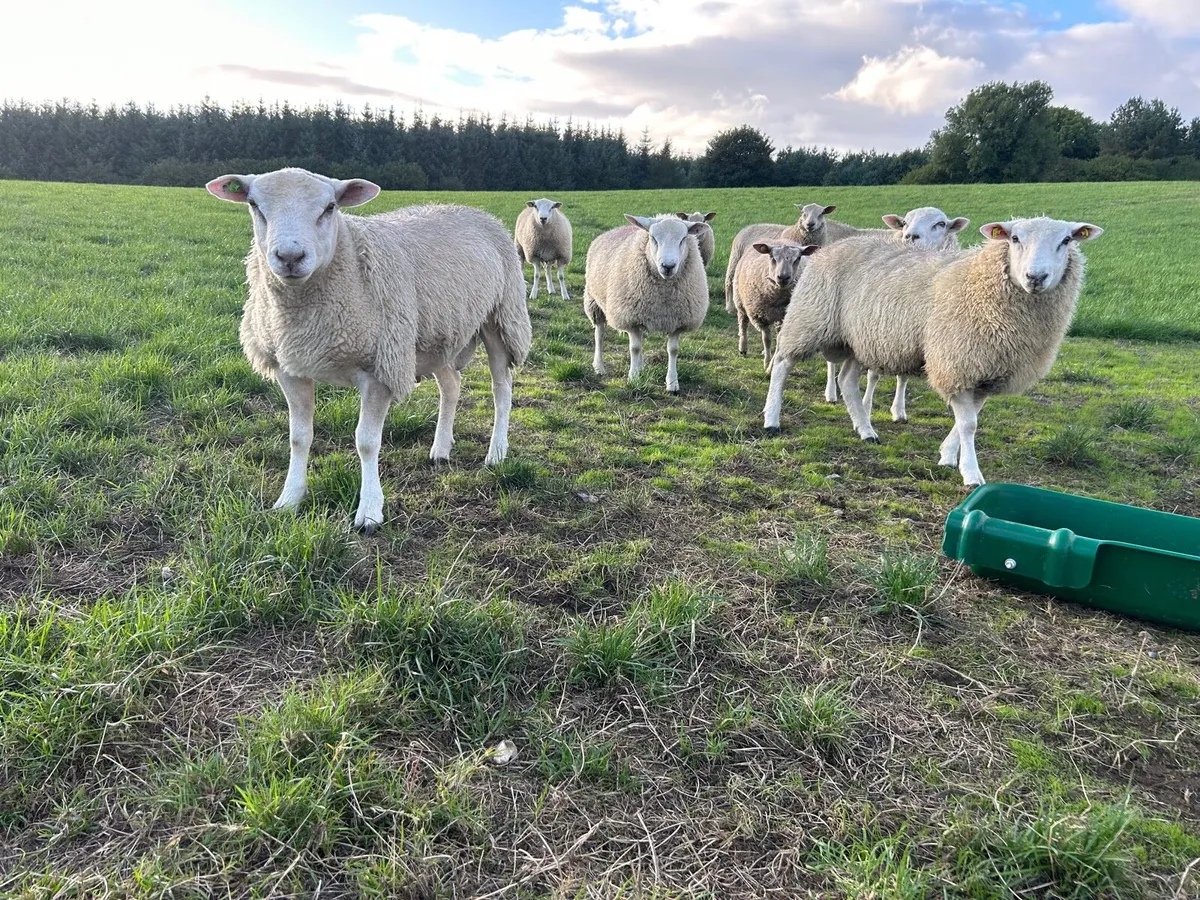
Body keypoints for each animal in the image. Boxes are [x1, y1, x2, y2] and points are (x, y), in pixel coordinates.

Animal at [205, 167, 532, 534]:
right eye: (254, 205)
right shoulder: (291, 367)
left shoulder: (380, 368)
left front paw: (370, 512)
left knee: (501, 388)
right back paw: (441, 448)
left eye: (330, 207)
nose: (290, 257)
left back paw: (497, 452)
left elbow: (366, 442)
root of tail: (472, 210)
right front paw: (289, 499)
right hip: (435, 336)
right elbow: (298, 437)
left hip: (502, 314)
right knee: (451, 386)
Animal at [584, 213, 710, 394]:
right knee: (599, 335)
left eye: (683, 239)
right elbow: (634, 348)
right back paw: (599, 367)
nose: (668, 266)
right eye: (653, 238)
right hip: (595, 303)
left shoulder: (677, 322)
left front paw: (672, 383)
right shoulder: (630, 319)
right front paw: (633, 378)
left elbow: (673, 350)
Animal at [731, 240, 818, 369]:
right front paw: (767, 362)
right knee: (743, 323)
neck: (777, 299)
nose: (783, 277)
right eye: (772, 257)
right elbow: (766, 339)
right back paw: (743, 348)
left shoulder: (784, 318)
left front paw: (772, 365)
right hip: (740, 300)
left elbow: (779, 341)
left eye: (798, 258)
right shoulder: (760, 316)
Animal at [762, 216, 1103, 486]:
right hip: (810, 317)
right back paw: (772, 419)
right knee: (782, 363)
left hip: (860, 339)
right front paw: (971, 473)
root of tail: (837, 246)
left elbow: (970, 419)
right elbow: (969, 424)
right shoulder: (956, 361)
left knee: (847, 381)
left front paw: (948, 456)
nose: (1036, 277)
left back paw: (866, 430)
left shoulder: (986, 370)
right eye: (1015, 238)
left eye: (1066, 240)